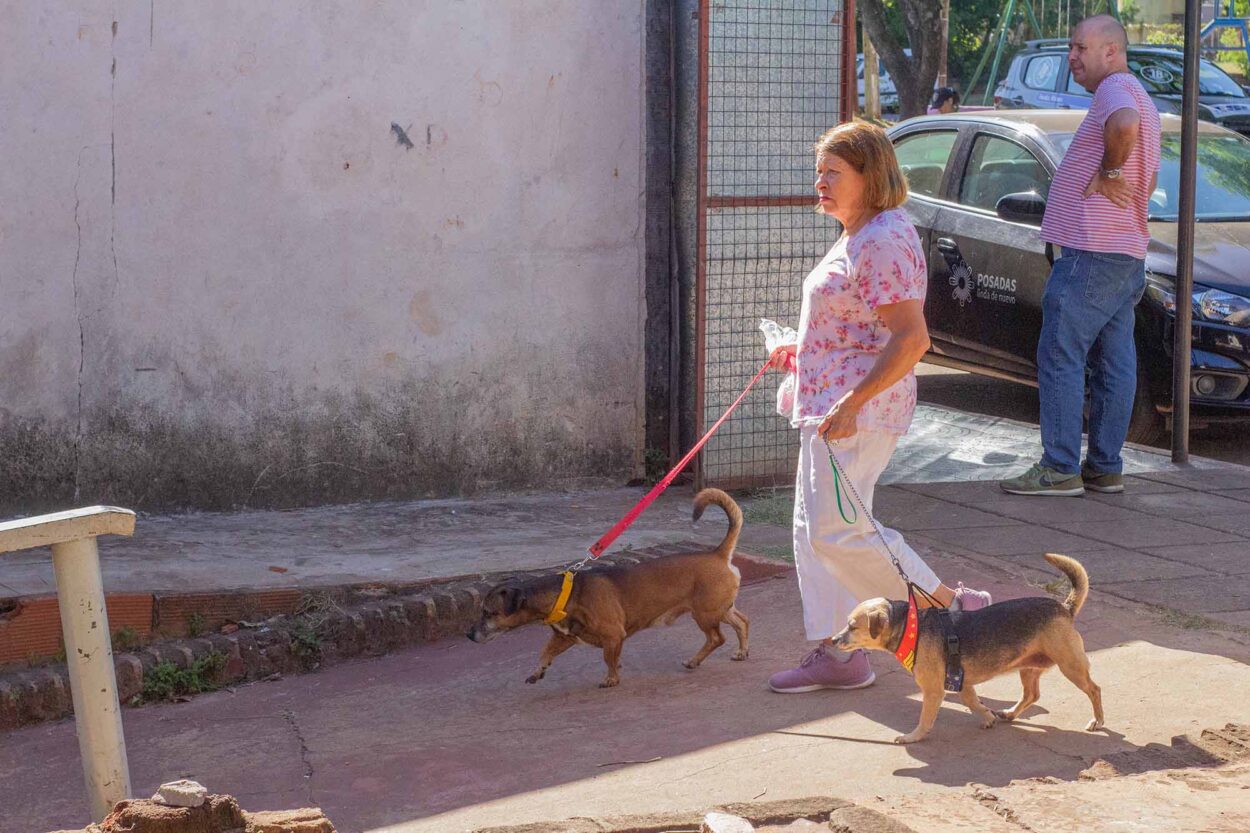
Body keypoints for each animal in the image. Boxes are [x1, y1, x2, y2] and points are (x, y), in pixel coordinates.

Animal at [465, 482, 745, 685]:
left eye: (489, 613)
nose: (468, 634)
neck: (567, 595)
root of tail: (718, 553)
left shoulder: (613, 635)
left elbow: (608, 658)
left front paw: (611, 678)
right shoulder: (564, 638)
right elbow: (545, 652)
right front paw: (538, 671)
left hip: (705, 613)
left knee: (717, 638)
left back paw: (694, 660)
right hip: (720, 609)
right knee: (742, 622)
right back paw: (742, 652)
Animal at [830, 550, 1105, 740]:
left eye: (852, 627)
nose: (833, 640)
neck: (912, 627)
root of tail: (1064, 608)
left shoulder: (933, 691)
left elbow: (925, 719)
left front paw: (912, 737)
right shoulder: (963, 683)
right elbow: (974, 702)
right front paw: (987, 717)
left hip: (1071, 666)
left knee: (1094, 689)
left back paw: (1097, 720)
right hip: (1028, 668)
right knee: (1031, 694)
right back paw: (1010, 713)